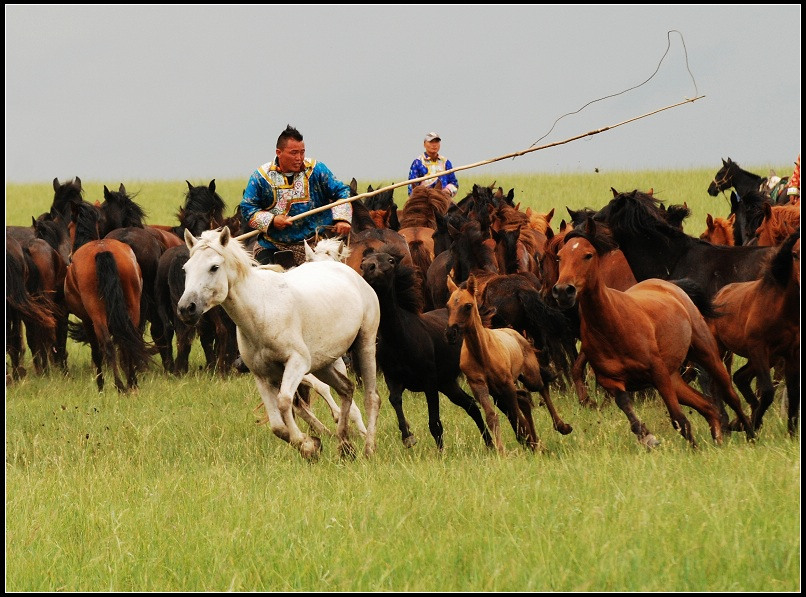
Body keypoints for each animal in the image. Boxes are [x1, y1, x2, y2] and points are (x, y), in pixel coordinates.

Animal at [181, 226, 384, 458]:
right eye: (186, 269)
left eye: (214, 267)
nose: (186, 308)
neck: (261, 308)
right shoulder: (262, 375)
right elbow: (278, 426)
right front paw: (311, 444)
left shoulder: (297, 363)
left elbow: (285, 401)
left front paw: (307, 444)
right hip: (323, 364)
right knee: (346, 389)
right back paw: (344, 445)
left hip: (364, 344)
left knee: (371, 397)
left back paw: (368, 447)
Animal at [358, 242, 492, 452]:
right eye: (363, 260)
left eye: (390, 260)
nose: (368, 268)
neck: (400, 338)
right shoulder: (393, 378)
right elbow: (395, 401)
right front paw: (408, 437)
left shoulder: (429, 381)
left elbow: (434, 422)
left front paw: (440, 452)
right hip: (448, 383)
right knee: (470, 405)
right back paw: (489, 443)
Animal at [446, 270, 572, 452]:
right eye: (448, 306)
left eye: (468, 306)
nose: (450, 334)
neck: (483, 353)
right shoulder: (480, 386)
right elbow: (492, 416)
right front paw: (504, 450)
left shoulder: (506, 385)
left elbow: (515, 415)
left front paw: (529, 441)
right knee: (524, 398)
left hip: (529, 376)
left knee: (541, 387)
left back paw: (561, 427)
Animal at [708, 232, 800, 434]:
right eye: (795, 254)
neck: (780, 308)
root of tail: (718, 295)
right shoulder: (758, 348)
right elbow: (767, 391)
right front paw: (755, 425)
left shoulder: (790, 354)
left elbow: (793, 393)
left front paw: (791, 433)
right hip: (721, 350)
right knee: (718, 385)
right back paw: (729, 424)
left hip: (769, 357)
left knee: (740, 377)